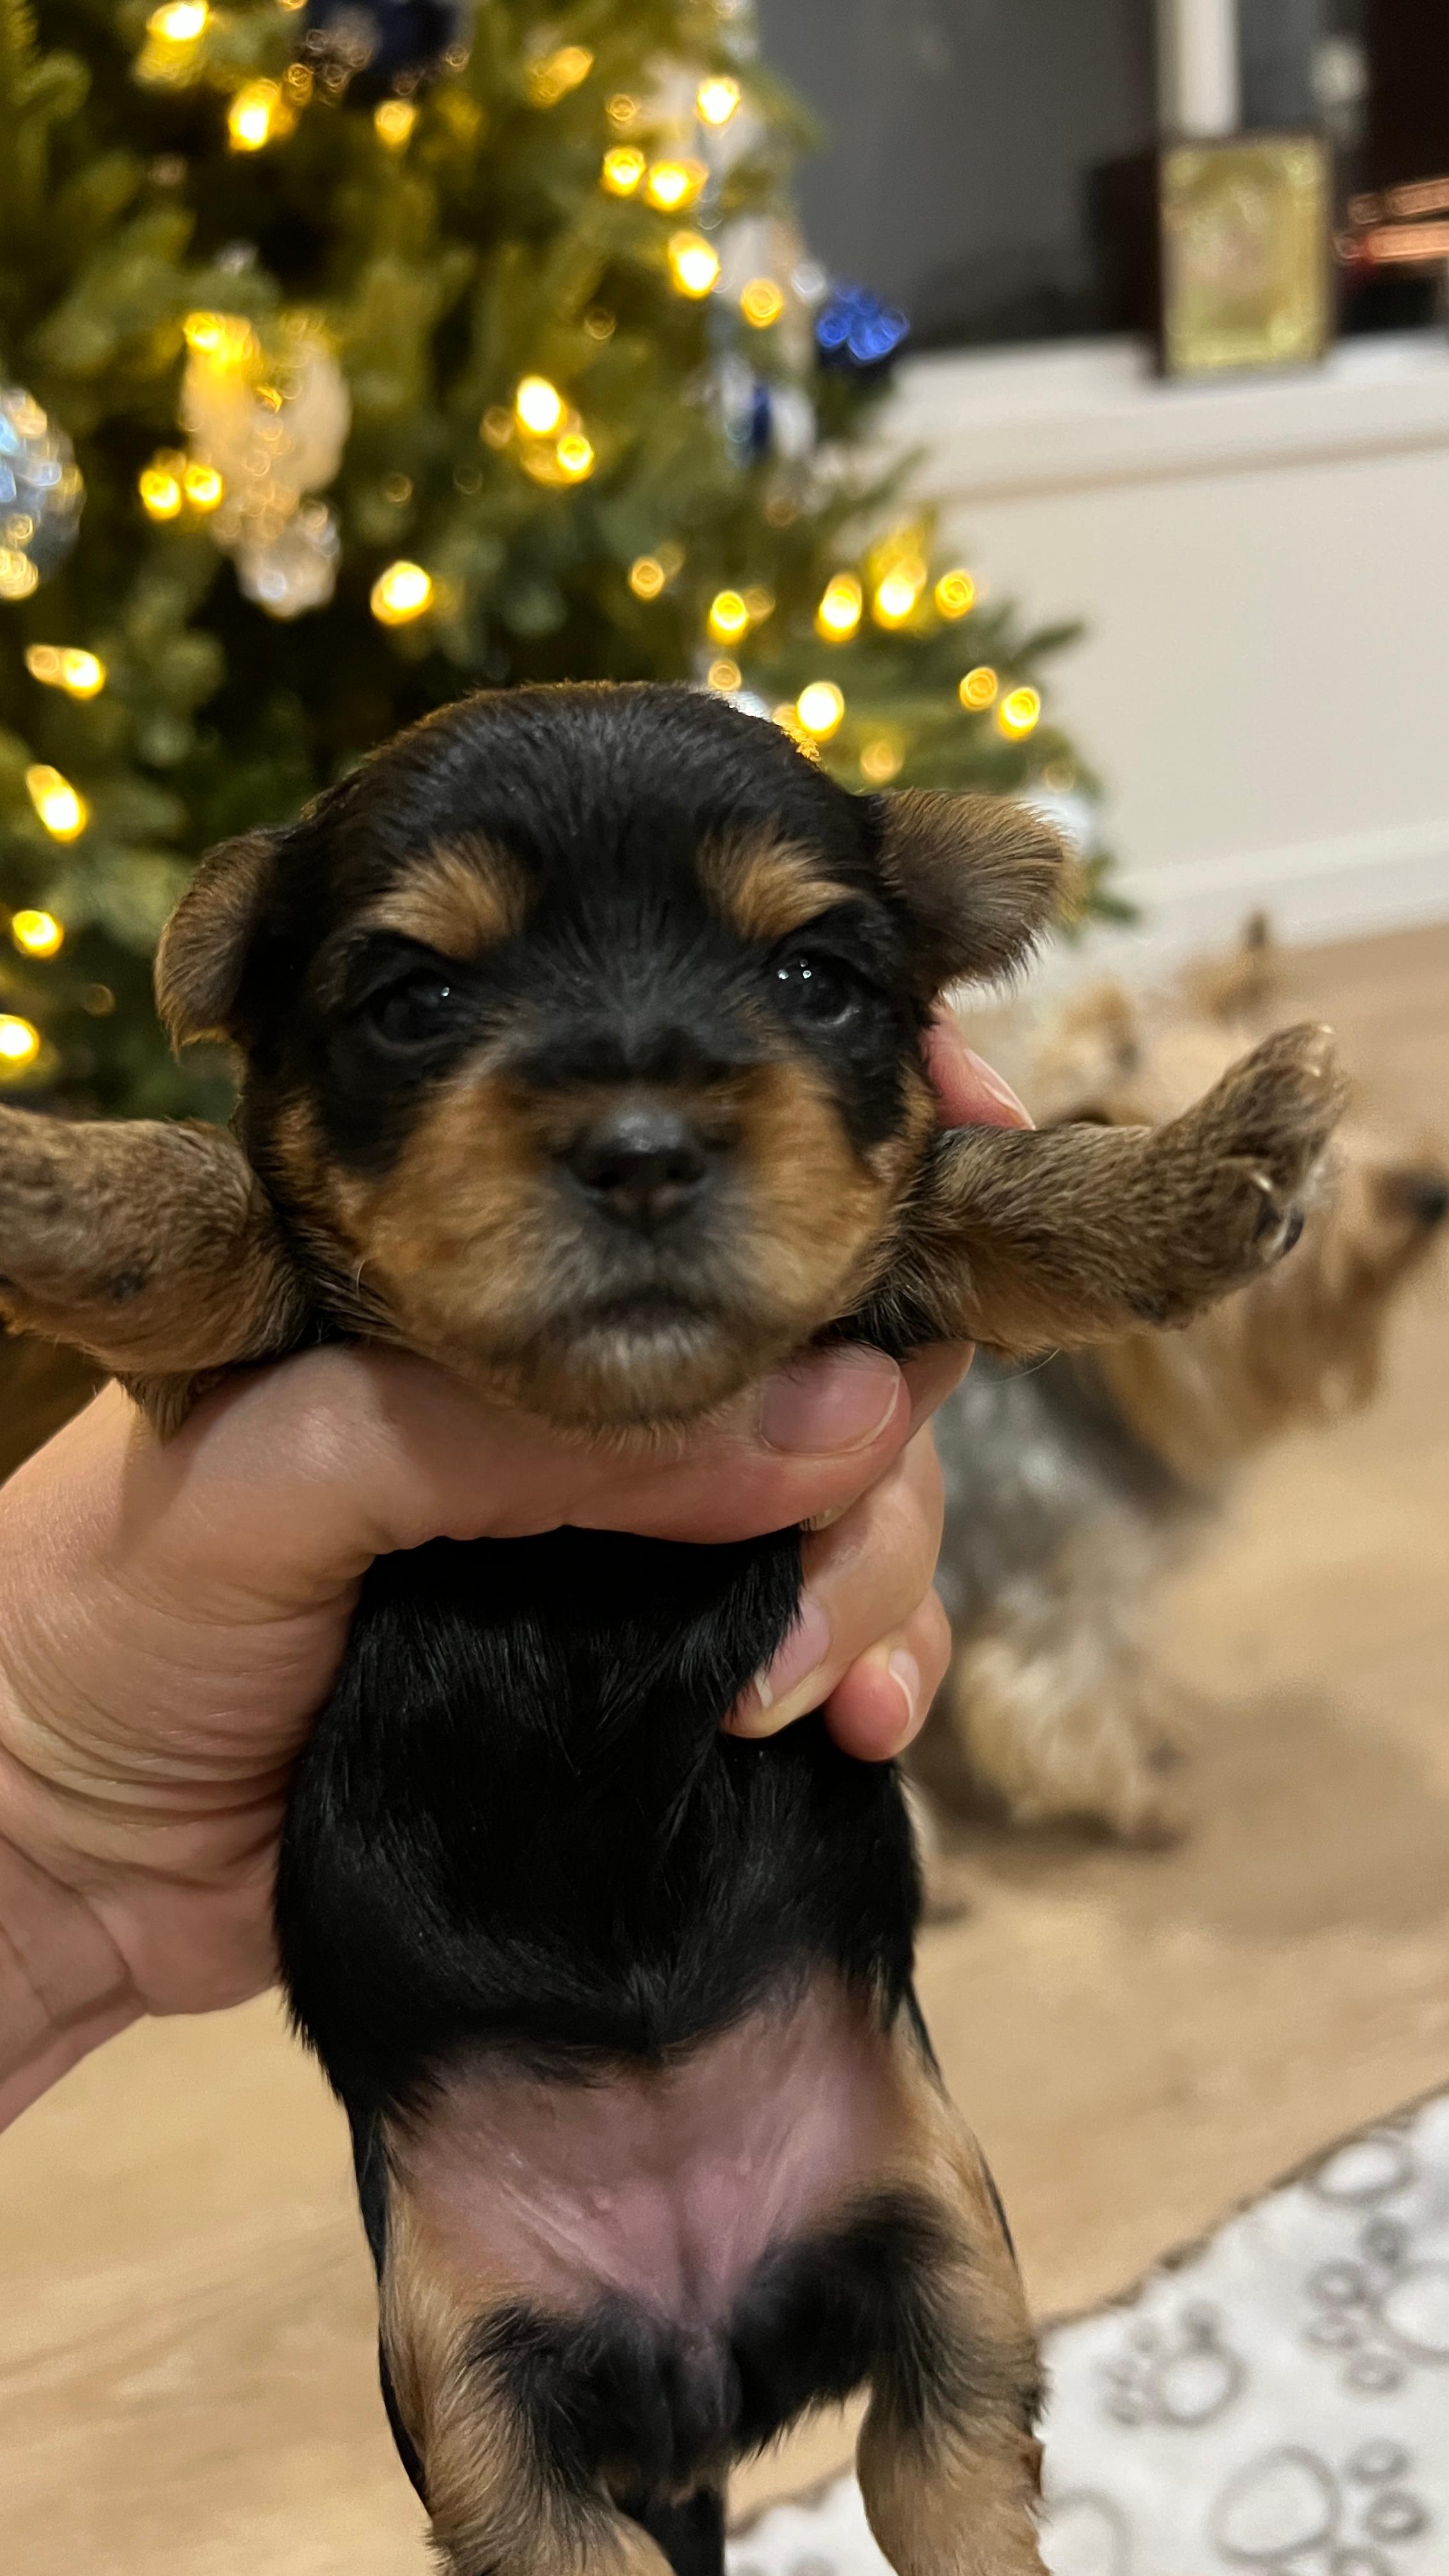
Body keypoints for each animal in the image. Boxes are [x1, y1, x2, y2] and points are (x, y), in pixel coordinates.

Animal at [0, 690, 1340, 2576]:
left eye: (814, 981)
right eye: (413, 1000)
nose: (642, 1149)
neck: (609, 1454)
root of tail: (702, 2361)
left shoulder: (877, 1300)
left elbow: (978, 1196)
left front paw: (1202, 1171)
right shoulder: (253, 1384)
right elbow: (222, 1218)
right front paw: (57, 1184)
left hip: (943, 2240)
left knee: (935, 2467)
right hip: (473, 2385)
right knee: (597, 2535)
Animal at [912, 922, 1443, 1855]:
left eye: (1351, 1117)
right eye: (1285, 1217)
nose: (1429, 1195)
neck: (1102, 1397)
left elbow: (1131, 1667)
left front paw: (1160, 1723)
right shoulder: (1070, 1589)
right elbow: (1075, 1708)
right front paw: (1146, 1806)